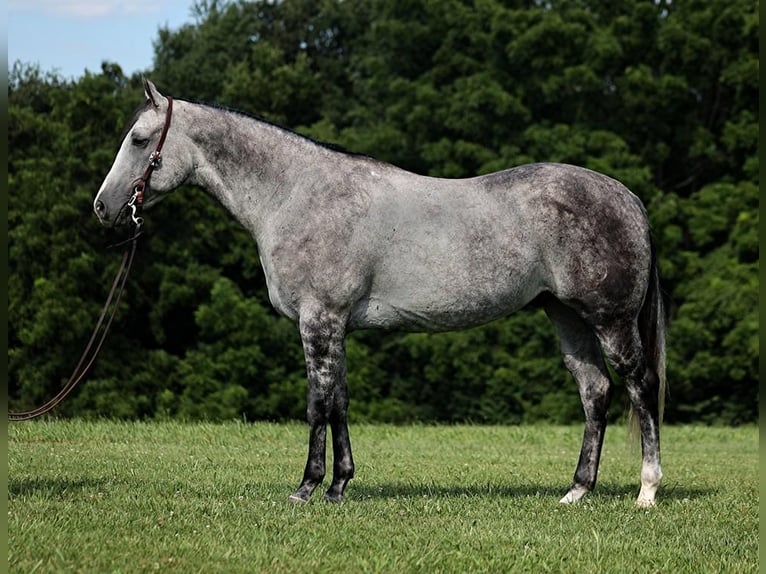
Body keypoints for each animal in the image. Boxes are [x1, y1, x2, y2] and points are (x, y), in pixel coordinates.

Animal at [97, 80, 664, 508]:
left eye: (140, 140)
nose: (103, 206)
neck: (298, 194)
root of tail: (628, 198)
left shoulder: (318, 319)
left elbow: (318, 403)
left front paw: (307, 487)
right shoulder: (335, 326)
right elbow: (340, 401)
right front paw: (339, 485)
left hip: (611, 322)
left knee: (640, 386)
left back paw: (647, 491)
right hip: (566, 317)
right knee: (595, 391)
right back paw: (576, 491)